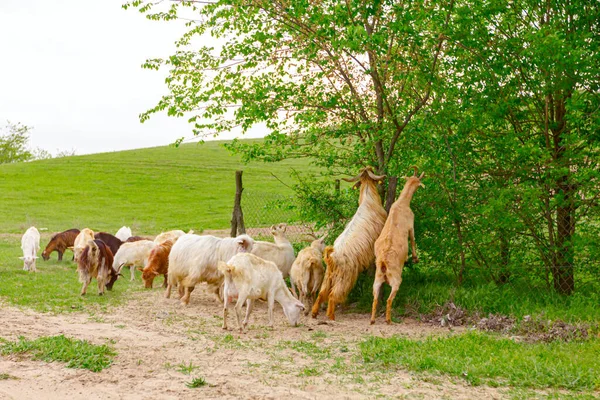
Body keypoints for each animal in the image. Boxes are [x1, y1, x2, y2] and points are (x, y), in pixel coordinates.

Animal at [312, 167, 386, 320]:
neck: (368, 198)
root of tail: (330, 257)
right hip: (345, 277)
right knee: (333, 295)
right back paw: (331, 316)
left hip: (328, 276)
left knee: (322, 293)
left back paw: (314, 313)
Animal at [370, 166, 426, 324]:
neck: (401, 204)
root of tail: (383, 263)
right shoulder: (411, 225)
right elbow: (412, 239)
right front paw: (415, 258)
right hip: (396, 279)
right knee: (389, 300)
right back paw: (389, 320)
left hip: (377, 280)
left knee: (375, 299)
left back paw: (372, 320)